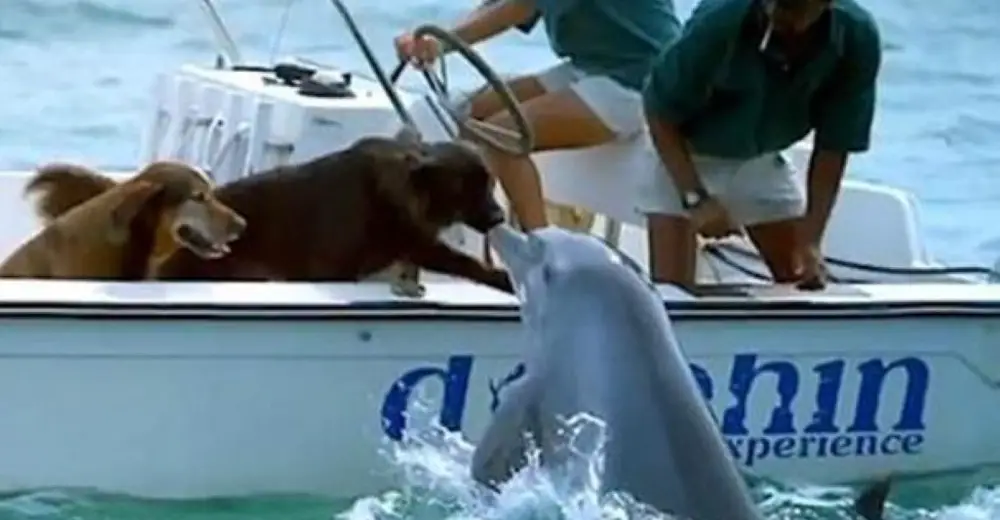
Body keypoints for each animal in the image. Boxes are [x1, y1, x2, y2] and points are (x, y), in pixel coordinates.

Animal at [151, 136, 512, 294]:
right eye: (467, 187)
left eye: (490, 184)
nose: (499, 218)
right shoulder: (332, 270)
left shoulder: (414, 241)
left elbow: (461, 260)